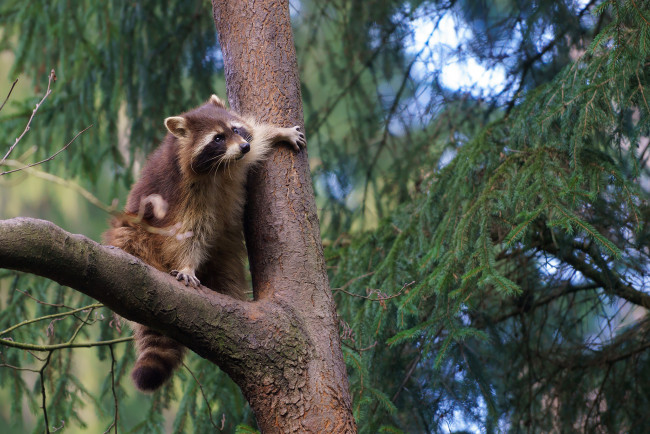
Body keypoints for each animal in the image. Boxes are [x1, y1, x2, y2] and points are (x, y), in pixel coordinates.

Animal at [104, 96, 306, 394]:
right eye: (217, 138)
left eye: (236, 130)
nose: (243, 146)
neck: (222, 166)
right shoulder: (184, 192)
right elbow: (186, 233)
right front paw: (187, 265)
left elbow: (258, 139)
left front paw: (275, 132)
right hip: (134, 236)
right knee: (131, 236)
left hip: (223, 256)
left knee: (226, 268)